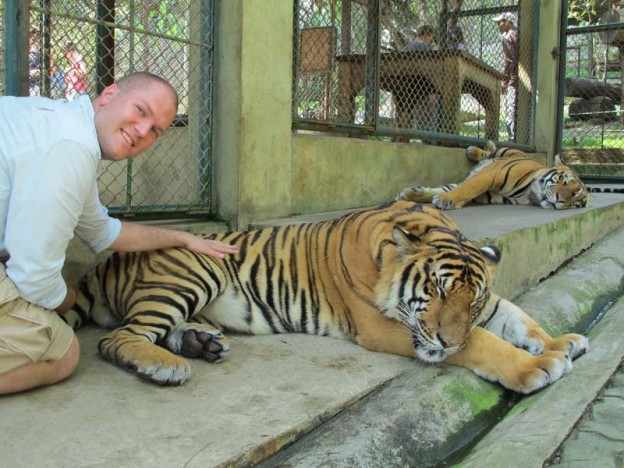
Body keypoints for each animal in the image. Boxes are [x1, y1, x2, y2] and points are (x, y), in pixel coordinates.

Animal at [61, 201, 588, 394]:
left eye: (472, 301)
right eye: (435, 291)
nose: (446, 340)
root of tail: (108, 260)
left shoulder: (486, 308)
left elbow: (517, 319)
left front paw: (561, 343)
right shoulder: (384, 326)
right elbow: (484, 343)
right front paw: (536, 368)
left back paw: (200, 343)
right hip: (193, 273)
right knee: (119, 338)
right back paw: (163, 365)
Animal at [398, 141, 588, 210]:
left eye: (575, 198)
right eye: (563, 181)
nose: (560, 199)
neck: (530, 194)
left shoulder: (486, 196)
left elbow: (450, 188)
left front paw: (413, 194)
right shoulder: (492, 174)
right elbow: (466, 187)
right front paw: (444, 200)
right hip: (507, 151)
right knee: (491, 150)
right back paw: (475, 150)